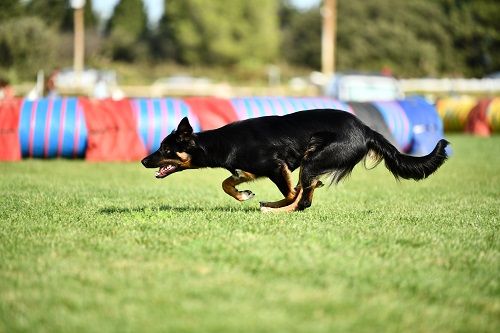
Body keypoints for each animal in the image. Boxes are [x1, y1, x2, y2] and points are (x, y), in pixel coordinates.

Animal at [141, 109, 450, 213]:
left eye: (165, 148)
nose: (143, 161)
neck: (223, 142)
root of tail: (366, 129)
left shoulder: (278, 167)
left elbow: (291, 192)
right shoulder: (247, 170)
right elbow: (227, 183)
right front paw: (244, 195)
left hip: (313, 159)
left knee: (302, 197)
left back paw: (276, 208)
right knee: (305, 195)